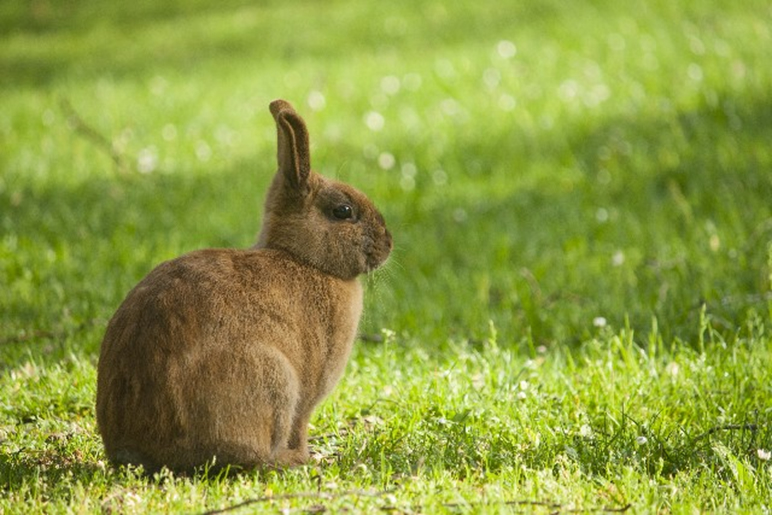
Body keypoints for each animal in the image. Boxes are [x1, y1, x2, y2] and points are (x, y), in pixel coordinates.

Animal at [95, 99, 392, 474]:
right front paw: (306, 457)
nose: (388, 243)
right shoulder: (308, 389)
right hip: (272, 379)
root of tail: (138, 449)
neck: (303, 259)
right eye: (343, 211)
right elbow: (301, 425)